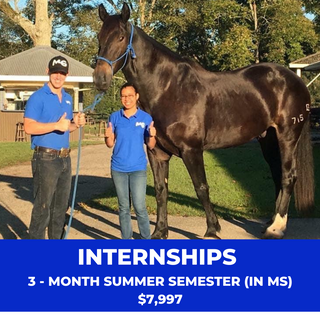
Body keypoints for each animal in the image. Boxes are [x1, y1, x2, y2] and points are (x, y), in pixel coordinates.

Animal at [94, 2, 314, 238]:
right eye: (99, 37)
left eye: (120, 37)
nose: (100, 78)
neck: (168, 89)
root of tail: (295, 80)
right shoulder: (157, 152)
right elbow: (162, 190)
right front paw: (160, 231)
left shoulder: (192, 150)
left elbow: (201, 188)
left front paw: (212, 229)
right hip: (268, 139)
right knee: (277, 175)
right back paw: (271, 222)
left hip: (287, 137)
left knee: (288, 176)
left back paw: (276, 227)